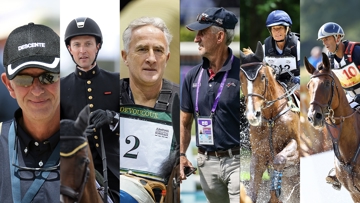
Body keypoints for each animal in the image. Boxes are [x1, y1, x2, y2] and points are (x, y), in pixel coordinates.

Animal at [239, 41, 300, 203]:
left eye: (262, 76)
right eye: (241, 78)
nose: (252, 115)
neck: (271, 118)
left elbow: (279, 159)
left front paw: (275, 189)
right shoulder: (258, 156)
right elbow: (252, 190)